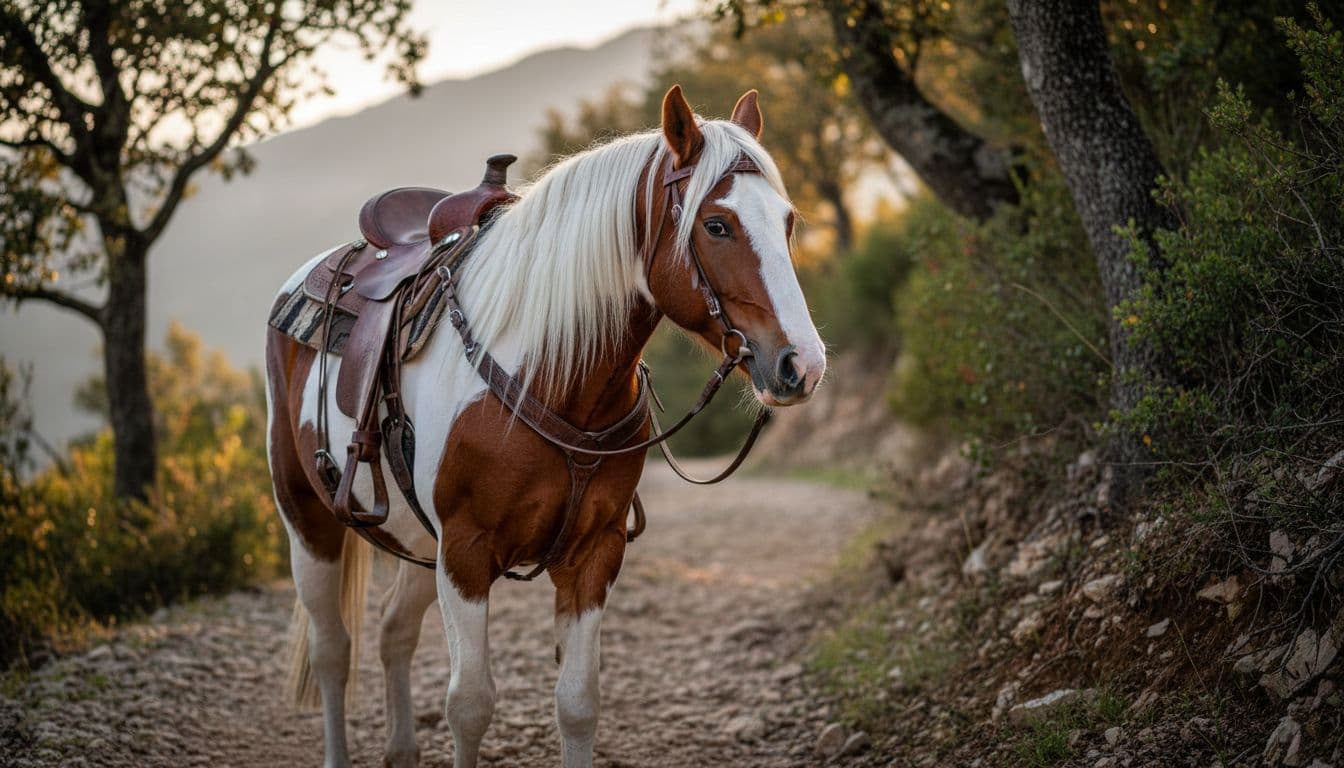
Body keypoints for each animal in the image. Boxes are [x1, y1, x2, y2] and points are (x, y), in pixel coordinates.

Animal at [264, 84, 827, 768]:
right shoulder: (465, 553)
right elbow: (469, 704)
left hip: (417, 542)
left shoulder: (593, 553)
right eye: (716, 225)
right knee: (332, 651)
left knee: (394, 632)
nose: (802, 364)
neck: (551, 376)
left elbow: (578, 703)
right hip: (307, 518)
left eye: (787, 220)